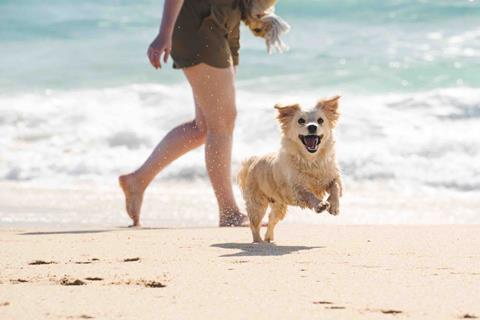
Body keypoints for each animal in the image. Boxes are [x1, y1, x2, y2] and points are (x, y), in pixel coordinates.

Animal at [236, 96, 342, 241]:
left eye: (320, 120)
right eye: (301, 120)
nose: (312, 126)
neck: (311, 160)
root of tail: (254, 160)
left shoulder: (332, 175)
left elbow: (335, 187)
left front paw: (334, 206)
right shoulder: (296, 187)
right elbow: (308, 193)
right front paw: (320, 204)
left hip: (279, 206)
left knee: (271, 219)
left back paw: (268, 239)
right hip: (257, 204)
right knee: (254, 225)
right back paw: (258, 242)